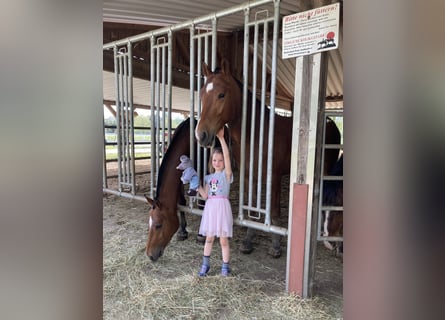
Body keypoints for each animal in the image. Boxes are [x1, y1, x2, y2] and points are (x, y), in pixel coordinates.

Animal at [195, 57, 340, 258]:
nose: (201, 135)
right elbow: (250, 211)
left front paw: (276, 246)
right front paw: (248, 240)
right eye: (201, 94)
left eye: (221, 95)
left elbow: (274, 212)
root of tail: (330, 122)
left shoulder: (275, 177)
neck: (257, 134)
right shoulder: (249, 175)